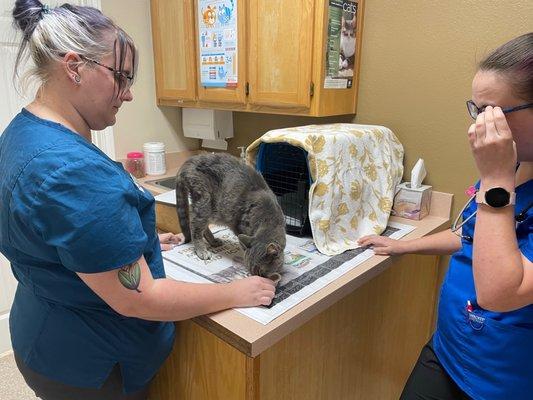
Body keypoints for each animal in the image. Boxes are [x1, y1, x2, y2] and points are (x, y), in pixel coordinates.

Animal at [175, 153, 284, 282]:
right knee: (195, 226)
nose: (255, 277)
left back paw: (213, 241)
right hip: (204, 201)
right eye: (254, 272)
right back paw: (201, 250)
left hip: (212, 210)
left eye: (260, 272)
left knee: (203, 226)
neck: (268, 219)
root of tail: (188, 162)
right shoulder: (240, 228)